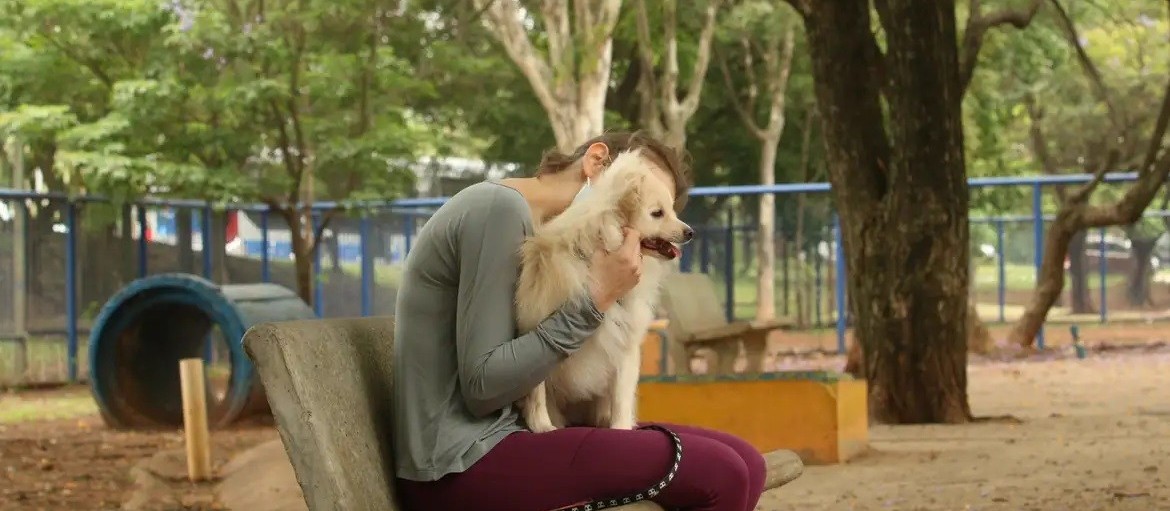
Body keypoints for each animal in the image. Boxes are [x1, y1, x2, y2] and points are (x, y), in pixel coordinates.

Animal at [514, 147, 692, 430]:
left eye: (673, 211)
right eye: (658, 213)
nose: (690, 232)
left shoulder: (624, 345)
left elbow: (621, 398)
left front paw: (621, 428)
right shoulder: (534, 328)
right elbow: (536, 391)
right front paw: (542, 426)